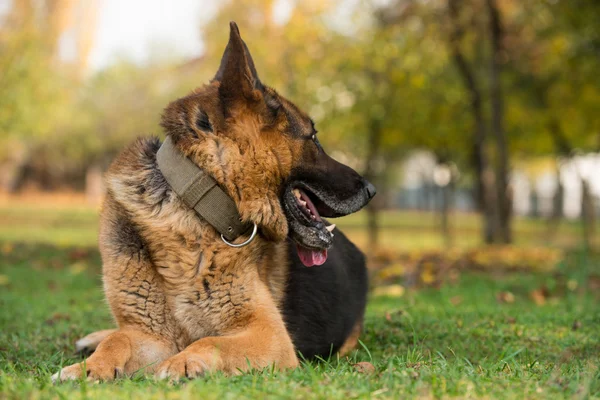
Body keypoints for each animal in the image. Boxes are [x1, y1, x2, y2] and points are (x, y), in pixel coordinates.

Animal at [51, 21, 376, 382]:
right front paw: (89, 368)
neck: (189, 216)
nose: (371, 189)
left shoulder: (270, 335)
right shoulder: (149, 334)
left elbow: (210, 341)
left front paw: (180, 362)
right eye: (314, 138)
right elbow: (119, 339)